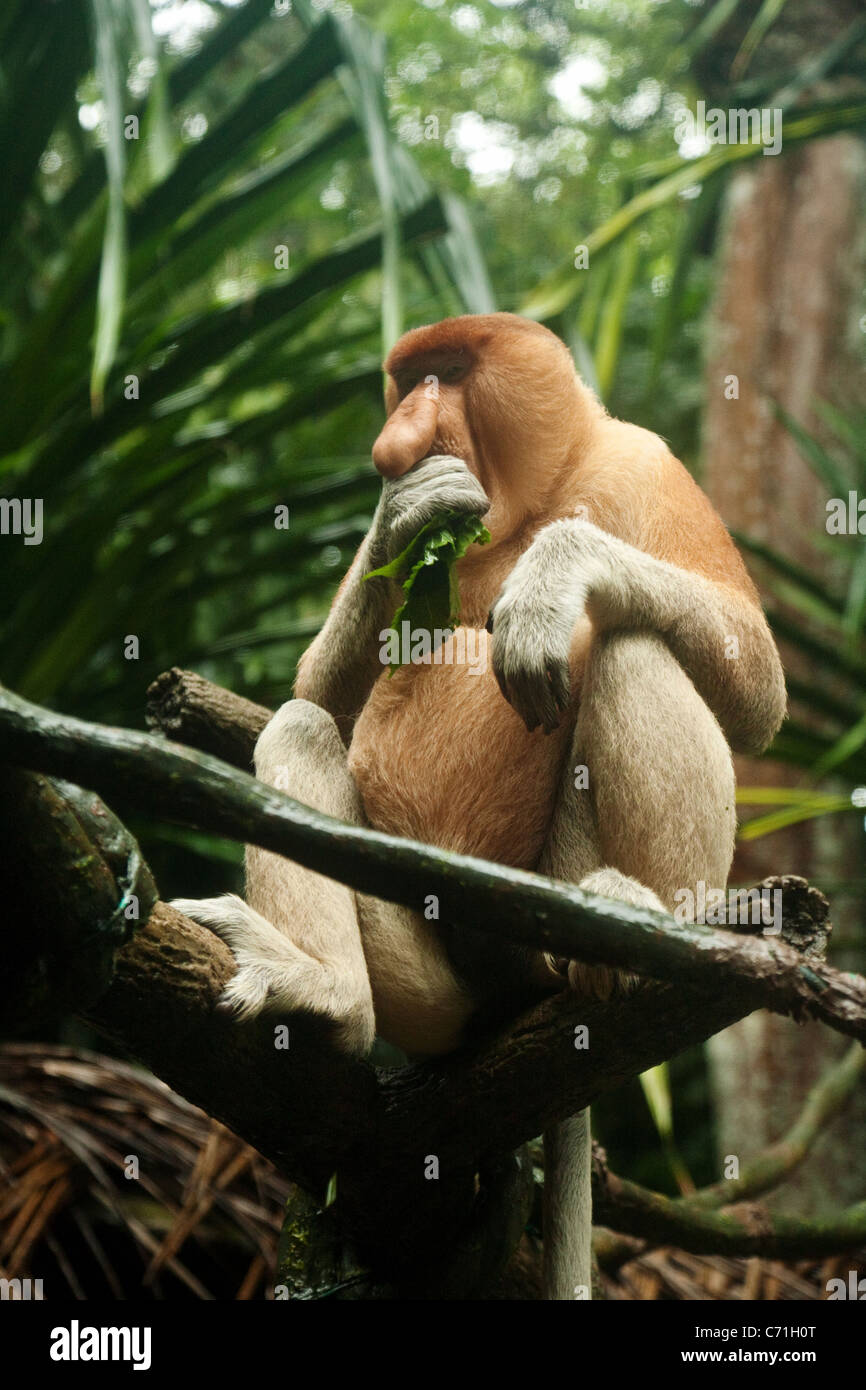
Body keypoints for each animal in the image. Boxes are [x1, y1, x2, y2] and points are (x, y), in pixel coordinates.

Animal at [174, 312, 786, 1299]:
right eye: (412, 376)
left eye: (454, 372)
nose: (399, 440)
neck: (536, 496)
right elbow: (316, 693)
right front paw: (411, 507)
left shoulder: (646, 463)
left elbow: (757, 684)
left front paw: (549, 582)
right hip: (438, 991)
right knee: (302, 729)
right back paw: (328, 993)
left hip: (552, 907)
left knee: (635, 642)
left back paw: (642, 918)